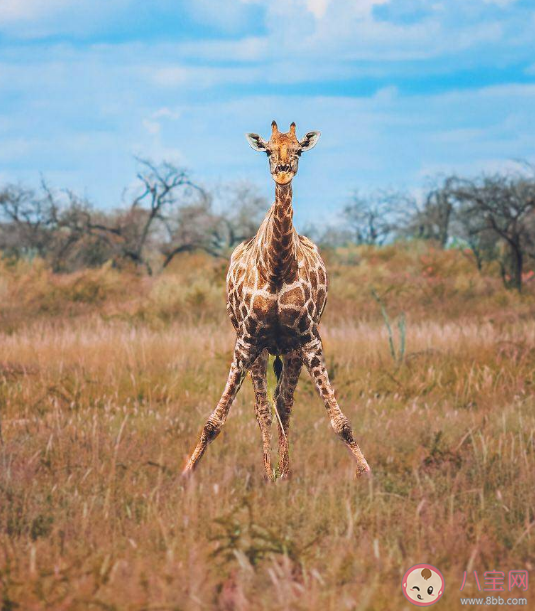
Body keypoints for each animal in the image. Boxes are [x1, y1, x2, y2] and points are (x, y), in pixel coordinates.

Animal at [182, 122, 370, 480]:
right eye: (268, 150)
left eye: (298, 150)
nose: (282, 172)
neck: (278, 267)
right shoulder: (246, 341)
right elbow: (215, 422)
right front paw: (185, 473)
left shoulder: (309, 339)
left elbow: (340, 423)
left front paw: (367, 473)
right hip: (259, 350)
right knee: (263, 408)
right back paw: (270, 473)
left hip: (289, 350)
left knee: (283, 403)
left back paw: (284, 473)